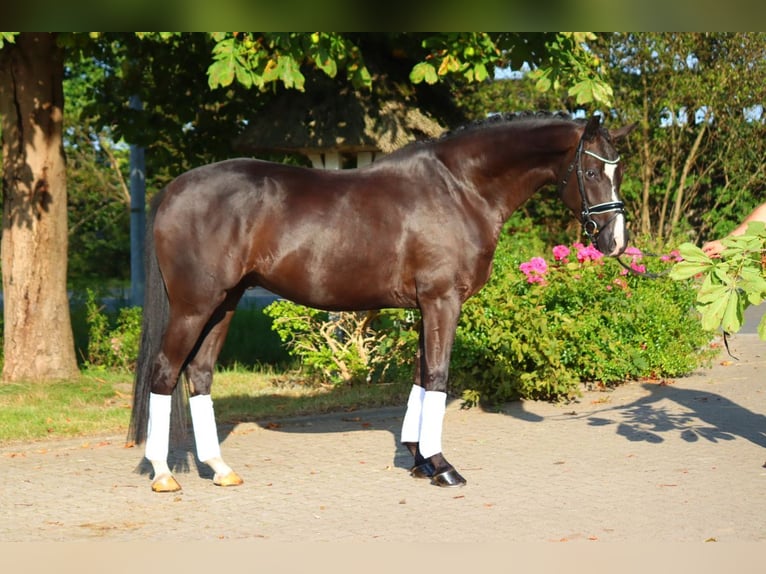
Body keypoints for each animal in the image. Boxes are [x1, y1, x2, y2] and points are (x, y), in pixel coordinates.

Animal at [130, 112, 636, 496]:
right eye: (591, 172)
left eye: (619, 172)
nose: (614, 242)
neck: (460, 188)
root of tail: (173, 190)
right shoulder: (442, 301)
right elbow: (438, 376)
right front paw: (442, 466)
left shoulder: (425, 306)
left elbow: (420, 376)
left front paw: (419, 460)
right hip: (195, 305)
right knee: (165, 371)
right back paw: (164, 473)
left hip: (226, 303)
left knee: (199, 374)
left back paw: (219, 468)